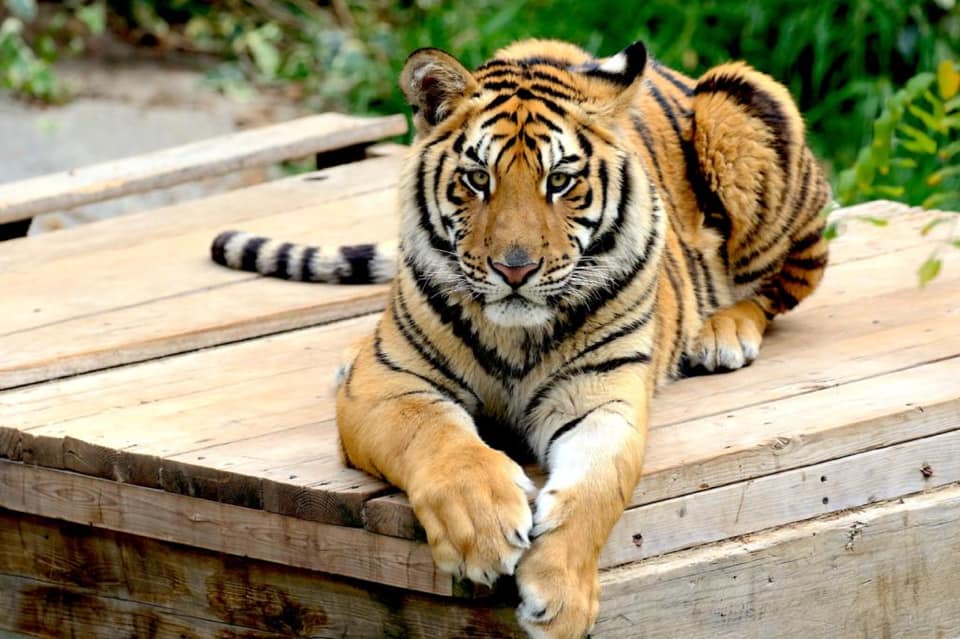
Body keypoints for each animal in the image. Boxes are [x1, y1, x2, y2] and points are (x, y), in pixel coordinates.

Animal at [211, 38, 830, 638]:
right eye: (477, 178)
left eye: (559, 181)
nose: (515, 268)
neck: (514, 335)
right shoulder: (388, 384)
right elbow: (440, 439)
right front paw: (480, 531)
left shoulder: (601, 397)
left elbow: (596, 487)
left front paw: (561, 599)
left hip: (743, 103)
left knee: (782, 286)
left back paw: (722, 332)